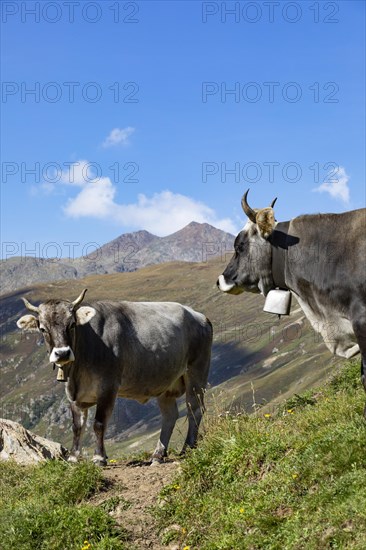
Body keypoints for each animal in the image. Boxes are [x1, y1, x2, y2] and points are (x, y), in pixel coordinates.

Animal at [16, 292, 212, 468]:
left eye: (71, 324)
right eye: (42, 328)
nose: (62, 353)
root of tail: (199, 316)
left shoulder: (108, 387)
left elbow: (99, 424)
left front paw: (99, 458)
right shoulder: (73, 394)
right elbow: (77, 426)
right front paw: (73, 458)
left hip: (197, 372)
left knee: (194, 409)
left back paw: (188, 448)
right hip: (165, 383)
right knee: (170, 416)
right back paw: (158, 455)